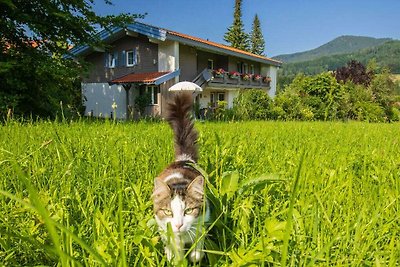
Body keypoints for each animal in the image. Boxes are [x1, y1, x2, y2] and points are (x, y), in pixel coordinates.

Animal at [152, 92, 209, 264]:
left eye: (188, 210)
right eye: (168, 211)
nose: (178, 225)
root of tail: (184, 159)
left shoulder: (203, 221)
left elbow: (198, 250)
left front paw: (194, 255)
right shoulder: (164, 229)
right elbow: (173, 252)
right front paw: (174, 258)